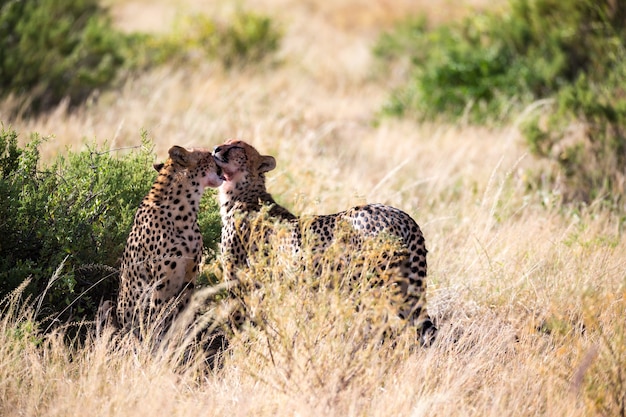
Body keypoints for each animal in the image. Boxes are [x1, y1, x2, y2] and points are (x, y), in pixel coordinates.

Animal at [210, 139, 434, 344]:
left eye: (236, 146)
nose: (215, 149)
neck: (242, 192)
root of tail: (401, 215)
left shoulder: (237, 278)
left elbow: (237, 319)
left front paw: (236, 347)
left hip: (366, 287)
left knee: (381, 328)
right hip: (403, 287)